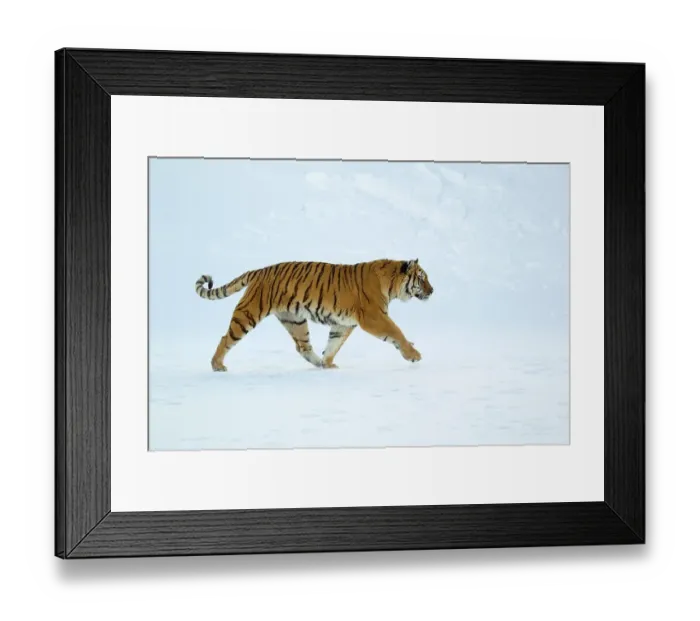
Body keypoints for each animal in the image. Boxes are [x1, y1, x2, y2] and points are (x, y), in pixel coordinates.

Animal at [194, 258, 434, 372]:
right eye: (422, 278)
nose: (432, 291)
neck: (391, 285)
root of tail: (259, 270)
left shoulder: (343, 324)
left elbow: (334, 344)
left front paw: (328, 364)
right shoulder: (373, 316)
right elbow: (396, 332)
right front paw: (414, 354)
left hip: (294, 320)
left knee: (303, 347)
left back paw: (318, 363)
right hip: (248, 314)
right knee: (226, 338)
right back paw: (217, 365)